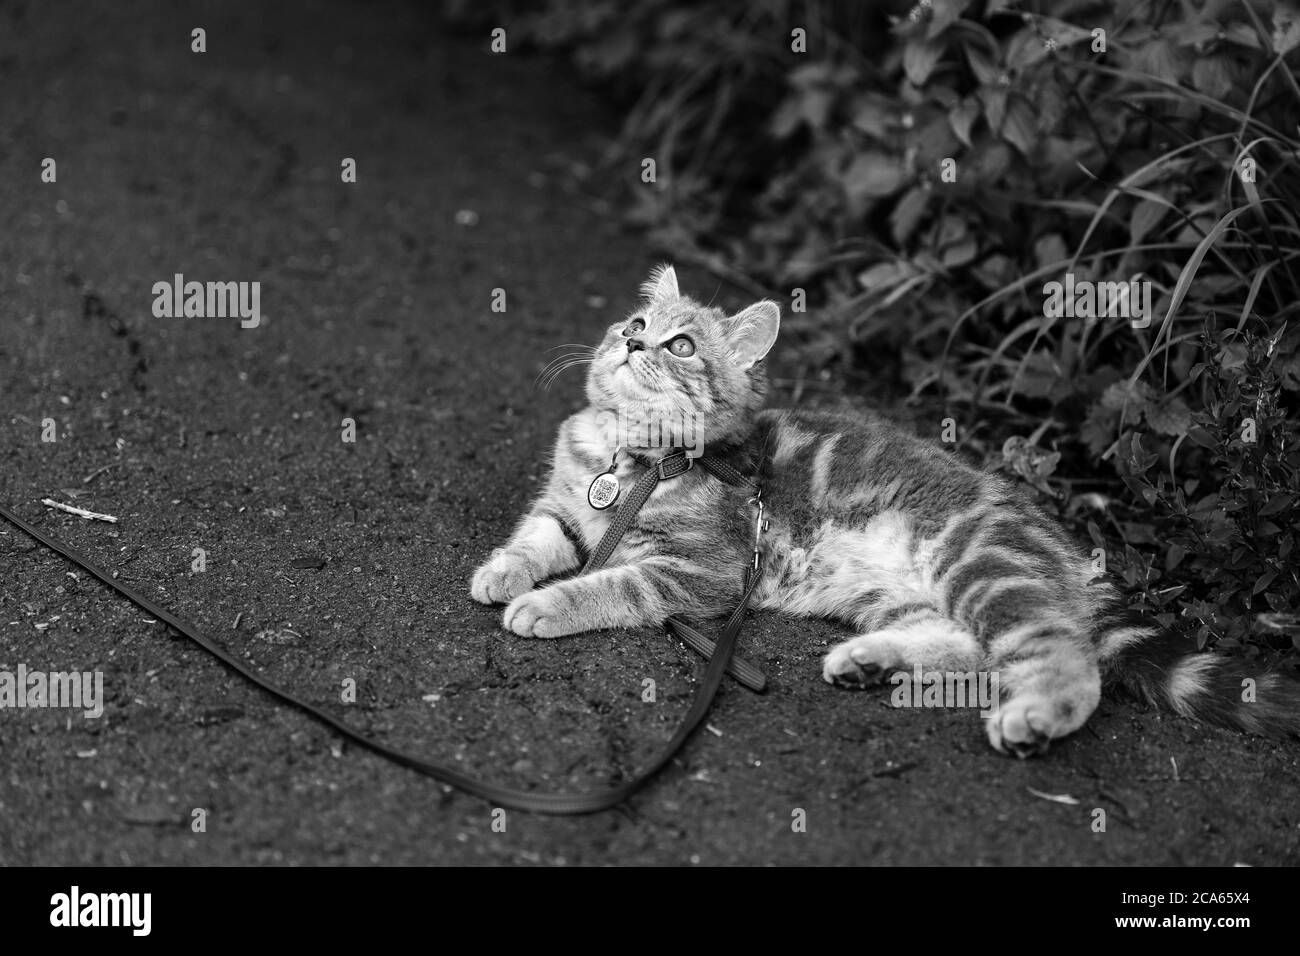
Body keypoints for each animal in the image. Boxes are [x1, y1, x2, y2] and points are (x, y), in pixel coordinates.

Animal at [473, 264, 1300, 754]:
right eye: (635, 325)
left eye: (680, 345)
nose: (632, 344)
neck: (632, 457)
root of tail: (1066, 550)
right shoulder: (567, 508)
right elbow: (537, 536)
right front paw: (502, 572)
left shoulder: (705, 569)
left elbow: (614, 581)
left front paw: (547, 604)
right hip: (894, 593)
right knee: (976, 647)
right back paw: (871, 662)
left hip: (982, 566)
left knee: (1065, 657)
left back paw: (1034, 716)